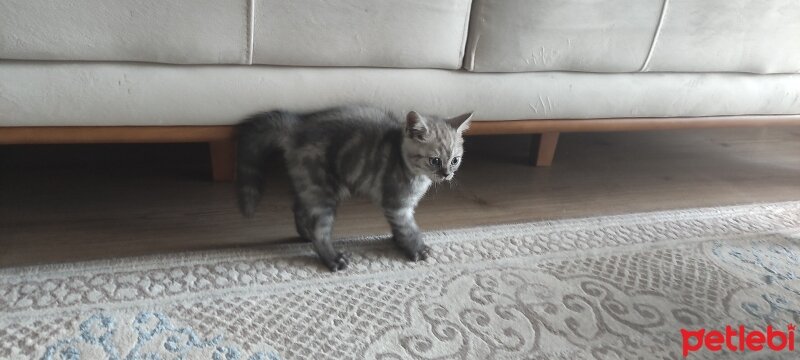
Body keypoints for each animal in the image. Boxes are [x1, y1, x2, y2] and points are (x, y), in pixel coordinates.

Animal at [234, 105, 472, 272]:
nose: (447, 174)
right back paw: (332, 258)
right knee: (320, 231)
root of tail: (298, 126)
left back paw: (305, 233)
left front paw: (399, 242)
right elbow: (408, 228)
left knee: (299, 206)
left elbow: (400, 229)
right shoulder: (397, 205)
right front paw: (416, 249)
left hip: (313, 184)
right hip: (324, 191)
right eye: (435, 160)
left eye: (455, 160)